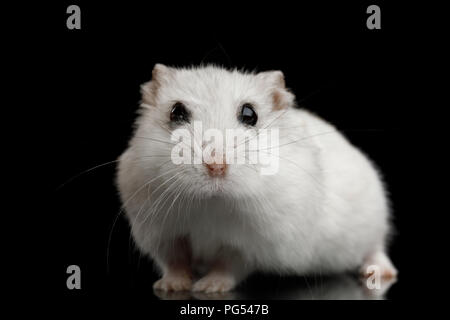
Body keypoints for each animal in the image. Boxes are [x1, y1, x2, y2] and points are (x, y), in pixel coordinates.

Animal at [117, 64, 398, 292]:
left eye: (249, 114)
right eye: (176, 112)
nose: (216, 166)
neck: (211, 204)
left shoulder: (250, 243)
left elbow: (227, 265)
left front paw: (209, 288)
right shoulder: (163, 233)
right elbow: (175, 262)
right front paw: (172, 286)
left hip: (374, 221)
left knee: (376, 249)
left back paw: (380, 273)